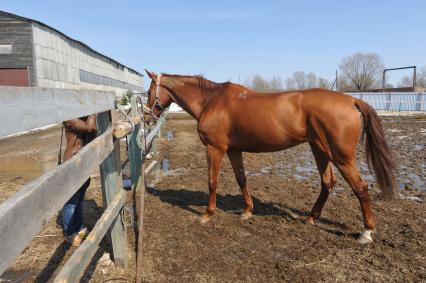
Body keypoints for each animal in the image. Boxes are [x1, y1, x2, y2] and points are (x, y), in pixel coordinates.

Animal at [145, 70, 398, 244]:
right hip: (319, 150)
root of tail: (351, 100)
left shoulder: (215, 148)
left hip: (341, 156)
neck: (211, 101)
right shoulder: (234, 150)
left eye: (149, 92)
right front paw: (247, 211)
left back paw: (366, 232)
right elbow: (241, 179)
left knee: (360, 187)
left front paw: (207, 214)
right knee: (328, 182)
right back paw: (311, 218)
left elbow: (212, 181)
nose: (147, 117)